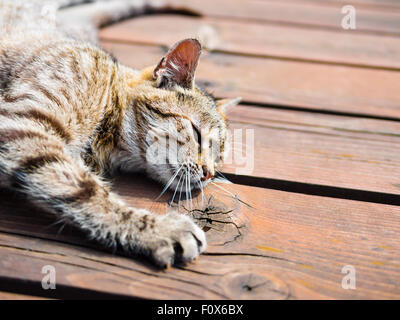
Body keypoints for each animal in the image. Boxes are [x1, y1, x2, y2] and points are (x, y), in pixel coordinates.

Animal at [0, 0, 239, 268]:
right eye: (197, 134)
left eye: (218, 158)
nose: (209, 173)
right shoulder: (26, 124)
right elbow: (88, 192)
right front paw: (159, 230)